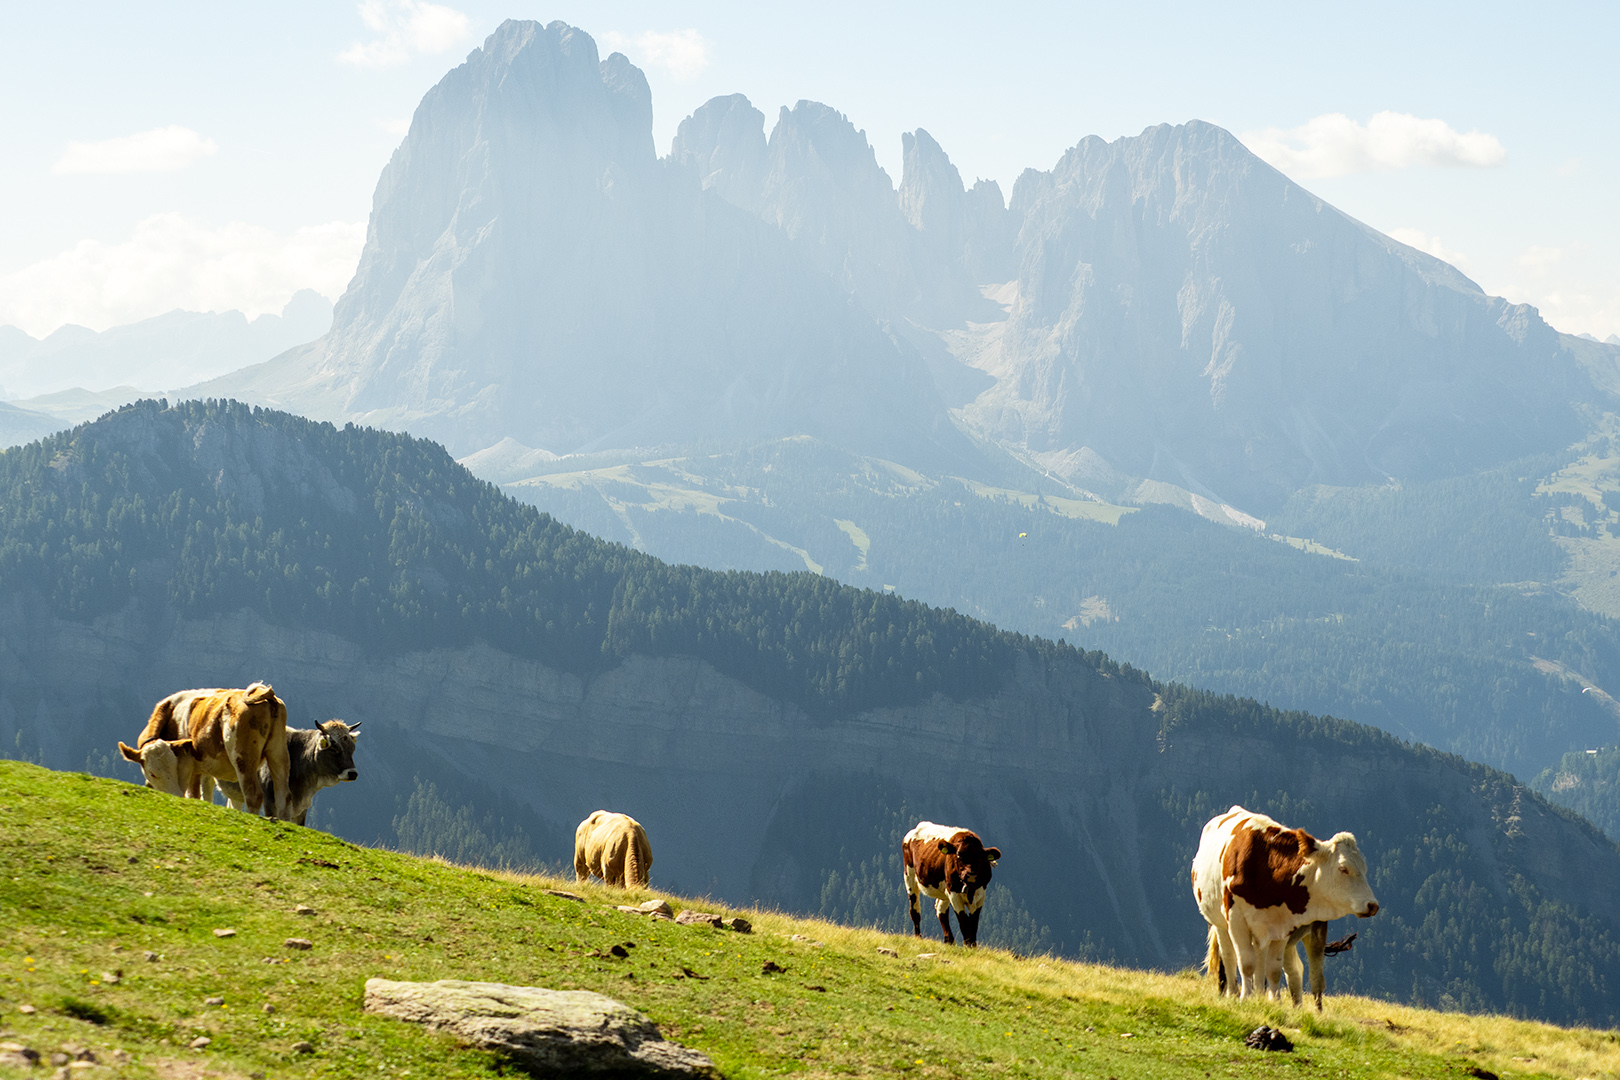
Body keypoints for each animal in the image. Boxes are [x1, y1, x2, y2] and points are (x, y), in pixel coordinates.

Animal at [135, 683, 291, 819]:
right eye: (152, 773)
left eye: (174, 767)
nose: (172, 794)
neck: (172, 714)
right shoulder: (205, 768)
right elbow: (206, 795)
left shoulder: (189, 766)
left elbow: (192, 794)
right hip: (278, 752)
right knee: (283, 797)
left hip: (243, 757)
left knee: (253, 795)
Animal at [1192, 805, 1378, 1002]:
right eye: (1343, 868)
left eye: (1364, 869)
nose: (1372, 905)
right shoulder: (1236, 919)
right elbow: (1246, 963)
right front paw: (1244, 998)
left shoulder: (1282, 925)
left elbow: (1273, 969)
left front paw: (1274, 1002)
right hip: (1219, 922)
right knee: (1229, 956)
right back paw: (1233, 993)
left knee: (1261, 960)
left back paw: (1258, 994)